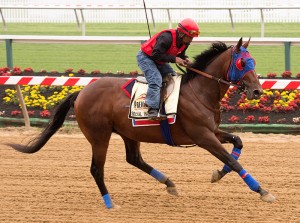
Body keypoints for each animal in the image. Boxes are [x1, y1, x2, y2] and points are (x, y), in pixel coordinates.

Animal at [7, 38, 276, 207]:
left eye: (253, 62)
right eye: (242, 63)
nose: (257, 91)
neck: (199, 91)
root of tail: (82, 92)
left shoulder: (212, 131)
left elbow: (238, 143)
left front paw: (218, 174)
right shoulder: (203, 136)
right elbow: (232, 159)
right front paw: (263, 191)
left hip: (128, 132)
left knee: (134, 159)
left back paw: (169, 183)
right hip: (99, 136)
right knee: (96, 169)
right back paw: (110, 203)